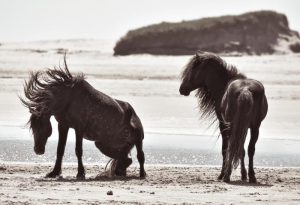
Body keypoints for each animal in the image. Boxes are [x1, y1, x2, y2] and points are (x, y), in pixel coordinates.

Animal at [179, 51, 268, 183]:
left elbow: (225, 149)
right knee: (250, 149)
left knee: (231, 147)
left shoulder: (223, 124)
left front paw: (221, 174)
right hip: (255, 127)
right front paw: (243, 175)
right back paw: (251, 176)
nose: (182, 89)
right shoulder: (244, 127)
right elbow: (241, 149)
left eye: (192, 70)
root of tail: (245, 90)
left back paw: (226, 175)